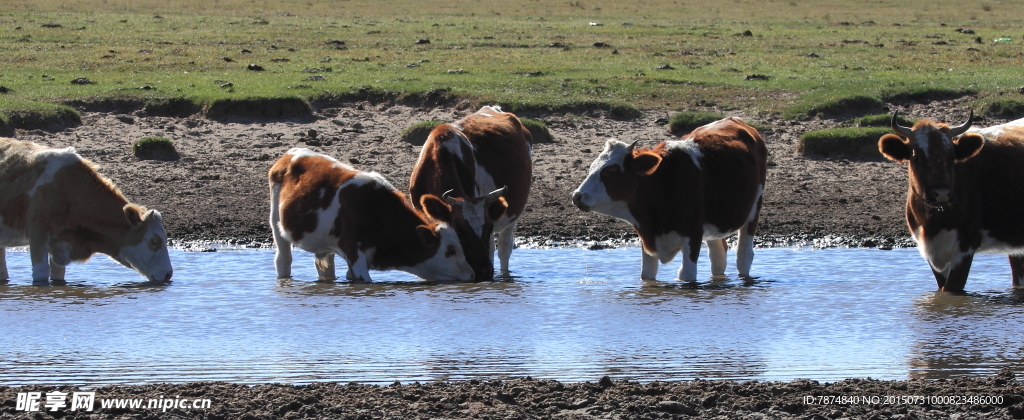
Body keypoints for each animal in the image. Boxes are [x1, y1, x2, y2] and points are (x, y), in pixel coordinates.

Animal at [272, 147, 479, 282]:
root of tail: (289, 154)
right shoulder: (354, 253)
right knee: (283, 260)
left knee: (325, 266)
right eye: (450, 251)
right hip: (276, 223)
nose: (471, 274)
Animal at [573, 117, 765, 282]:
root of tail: (735, 120)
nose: (577, 196)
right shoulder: (647, 237)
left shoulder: (693, 233)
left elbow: (686, 274)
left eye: (610, 171)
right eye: (591, 167)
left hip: (754, 208)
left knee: (743, 256)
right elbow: (647, 274)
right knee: (718, 257)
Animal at [876, 111, 1024, 292]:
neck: (933, 224)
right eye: (916, 157)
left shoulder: (965, 247)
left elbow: (951, 289)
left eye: (952, 156)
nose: (942, 193)